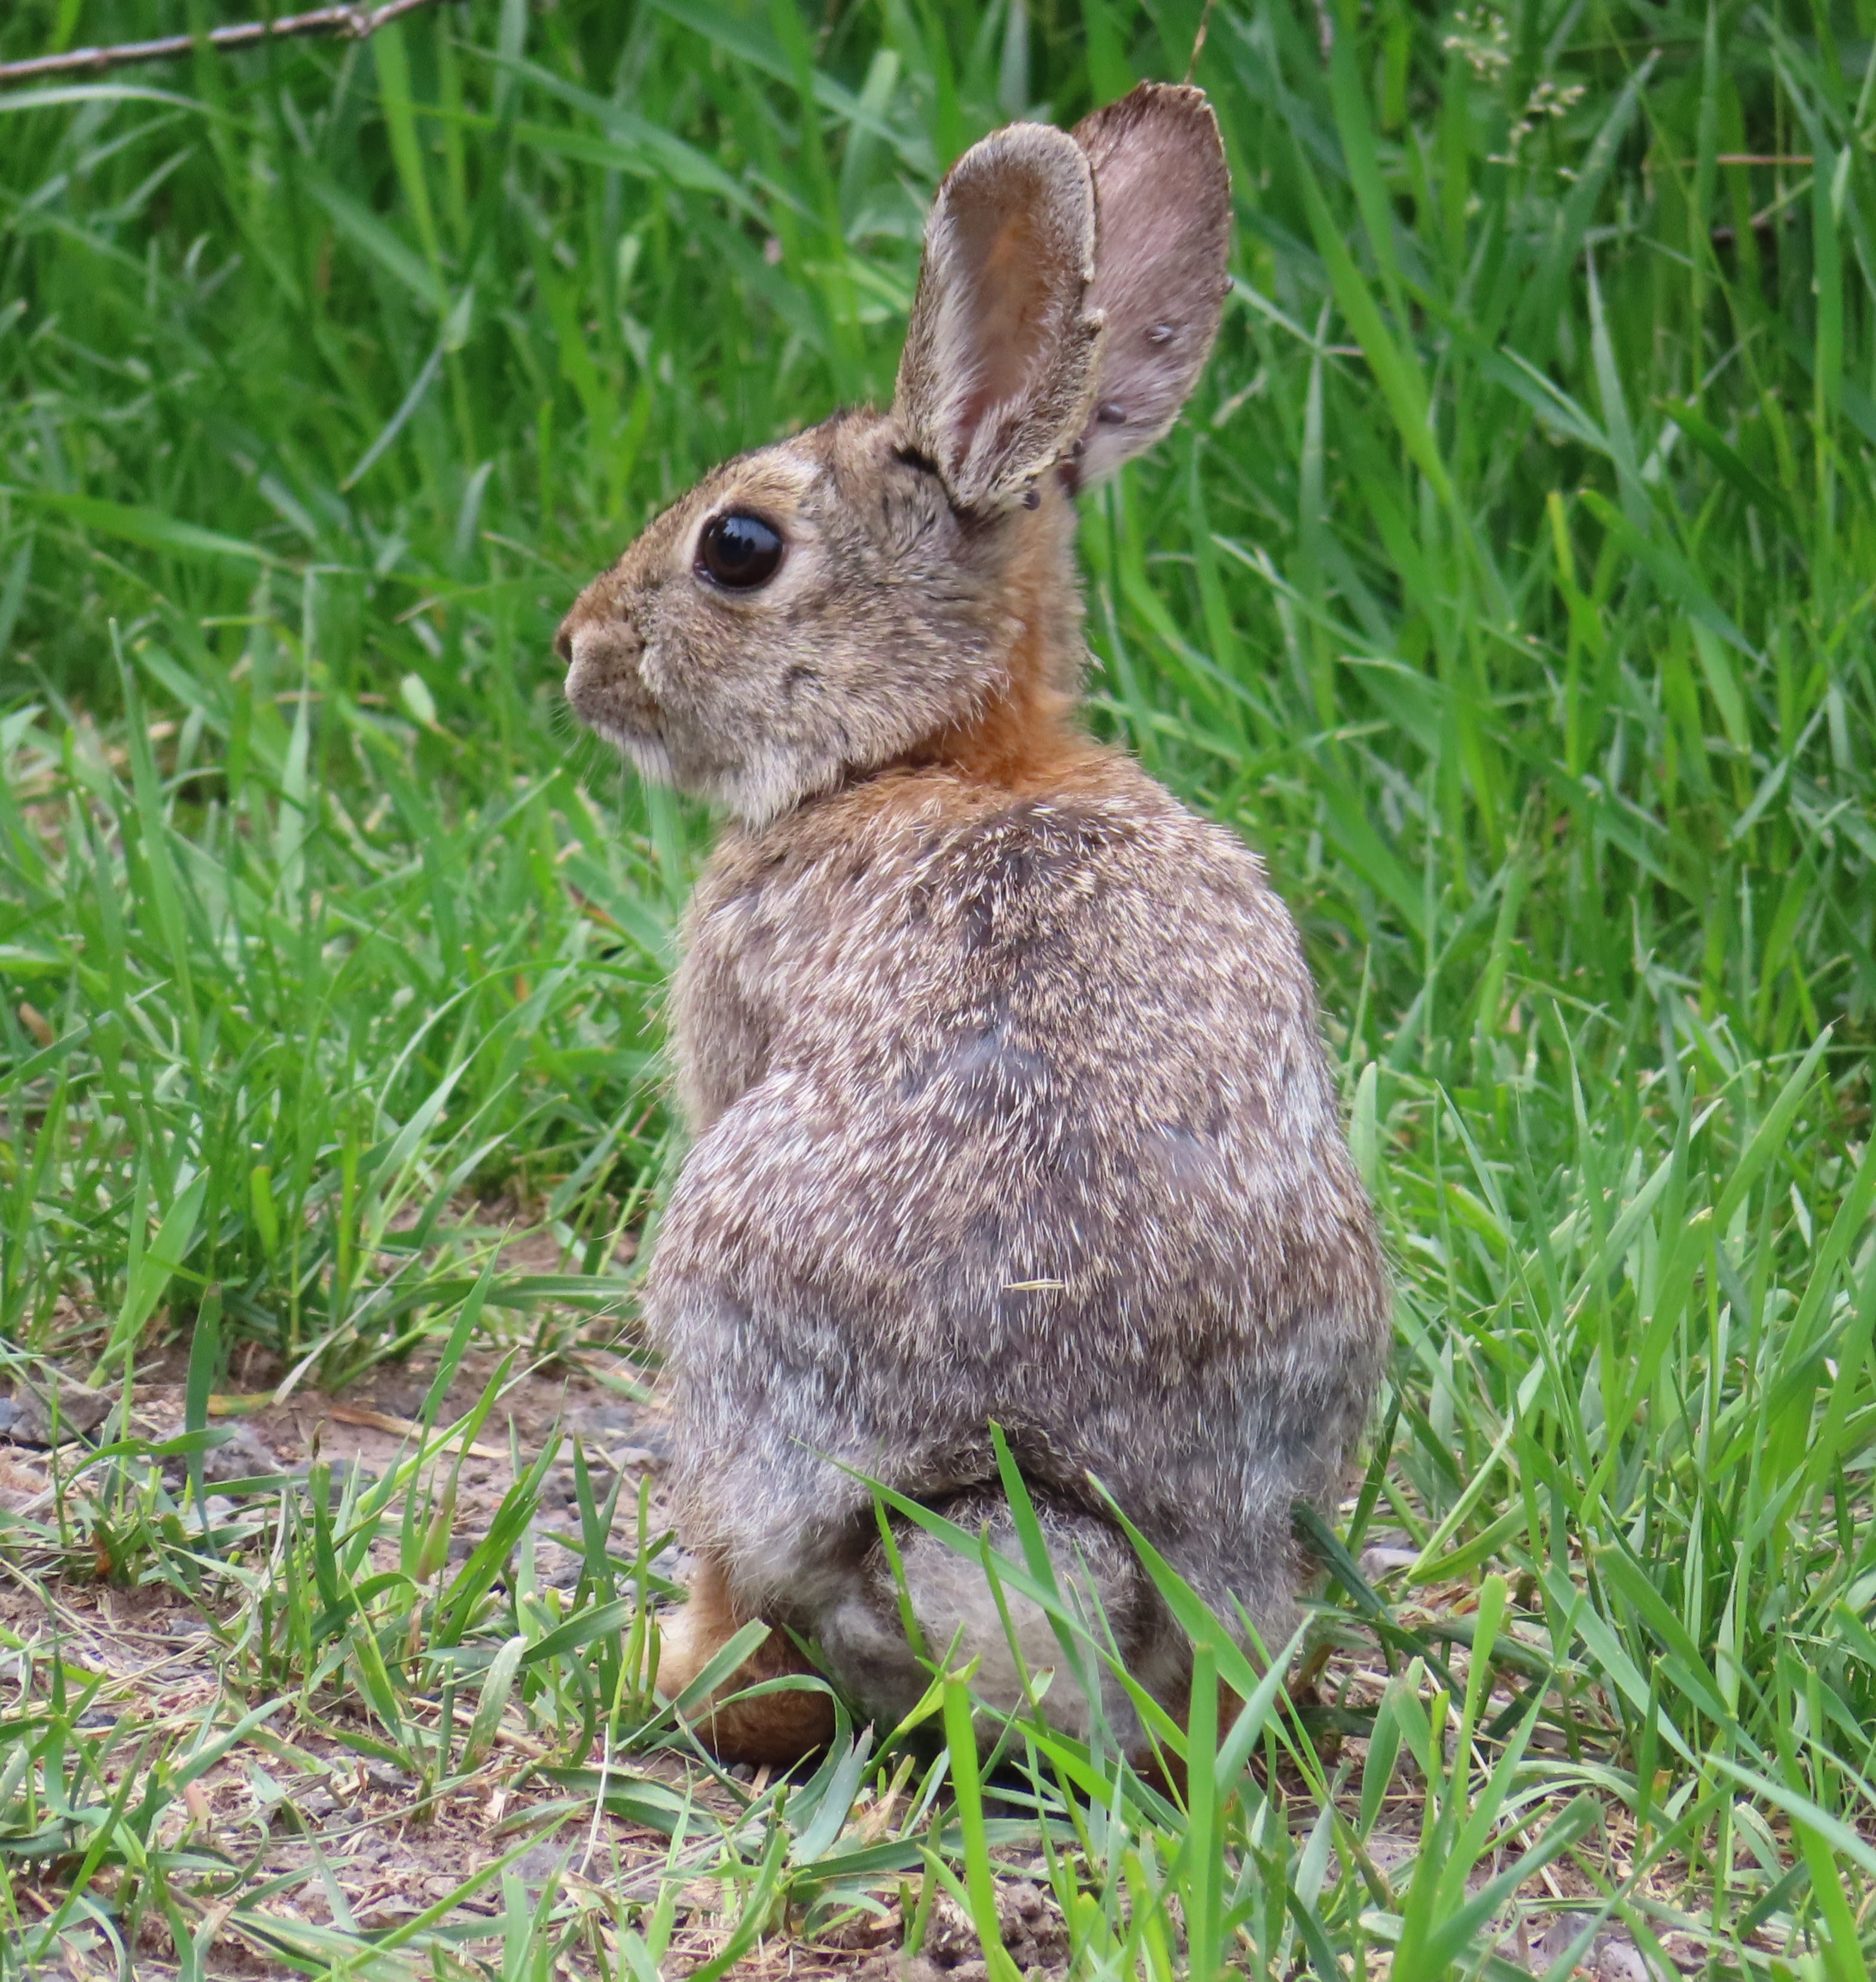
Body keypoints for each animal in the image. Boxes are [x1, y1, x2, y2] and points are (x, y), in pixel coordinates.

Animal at [557, 81, 1389, 1765]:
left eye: (737, 547)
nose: (576, 648)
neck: (935, 747)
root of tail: (1015, 1491)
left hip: (721, 1345)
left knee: (759, 1648)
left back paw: (653, 1662)